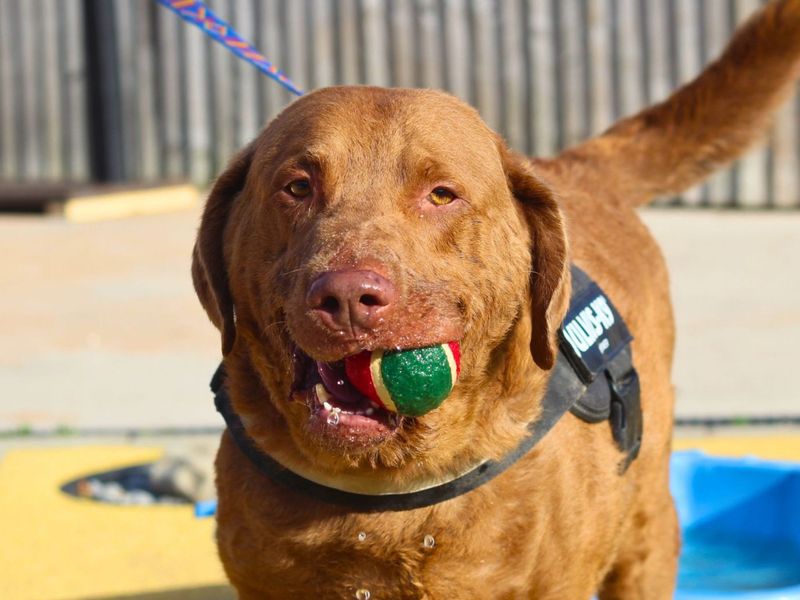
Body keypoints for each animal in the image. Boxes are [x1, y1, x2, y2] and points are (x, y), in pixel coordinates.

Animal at [194, 2, 800, 596]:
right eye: (297, 186)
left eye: (442, 195)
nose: (347, 295)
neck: (385, 490)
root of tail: (569, 167)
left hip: (646, 533)